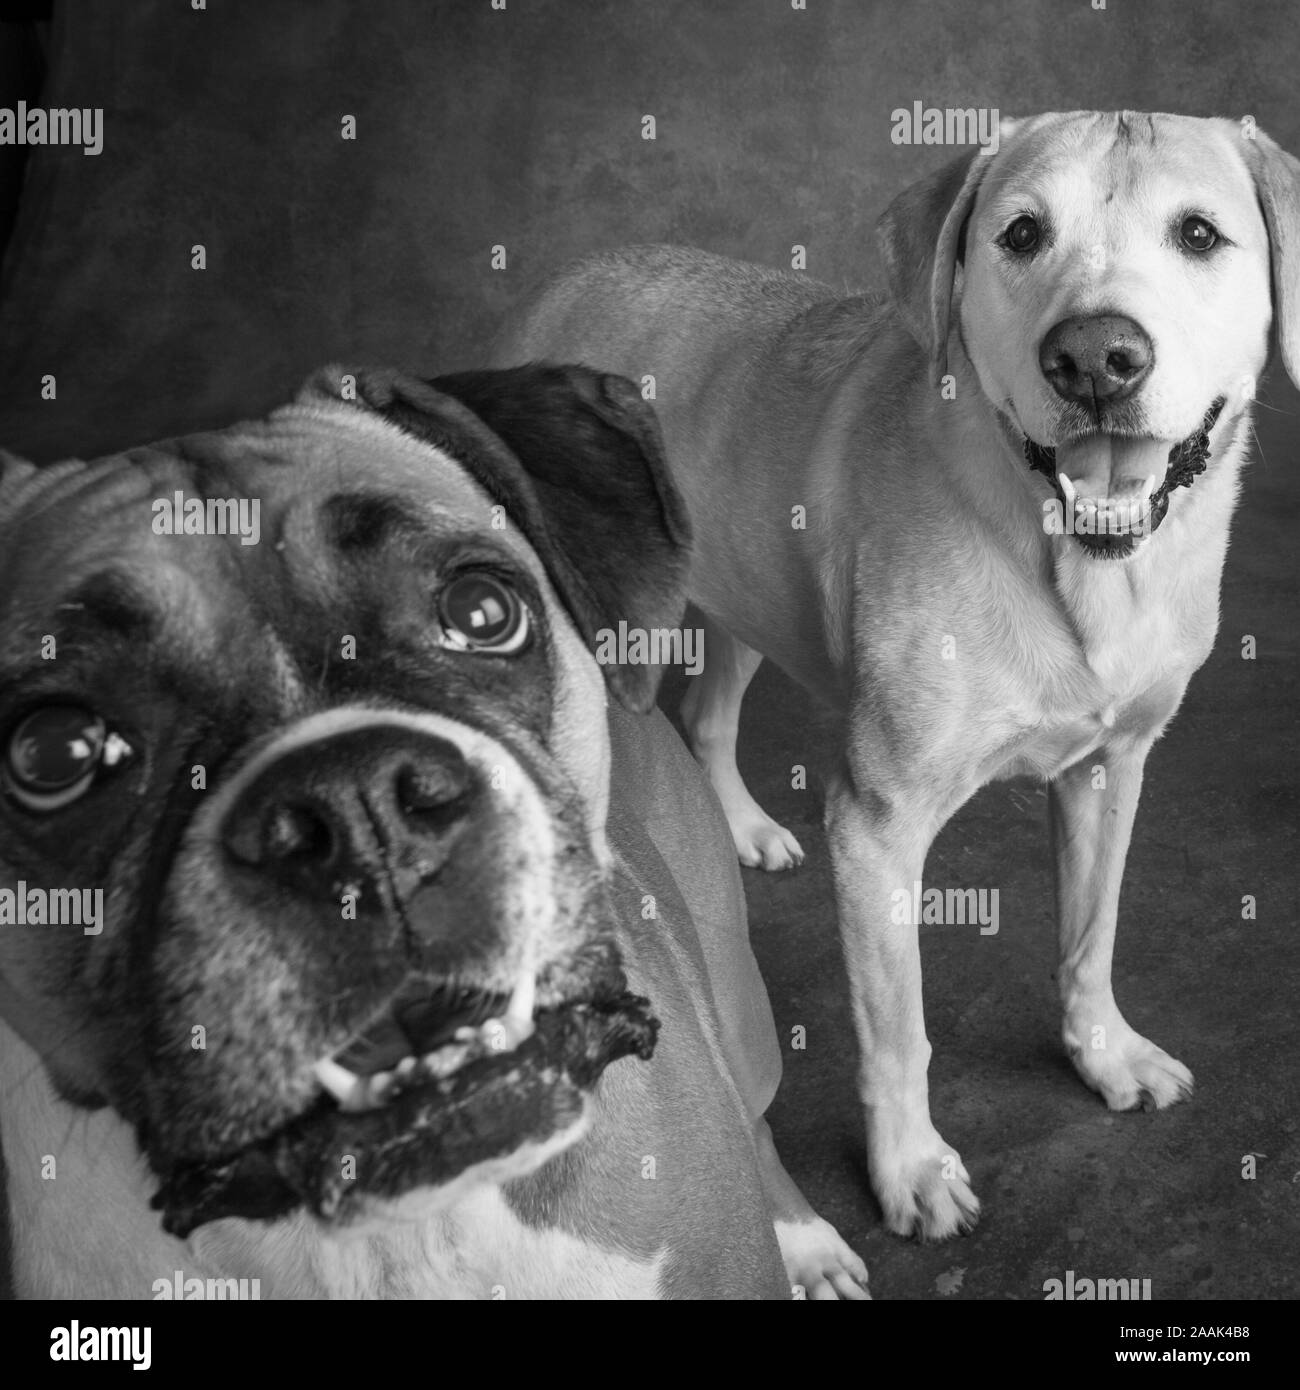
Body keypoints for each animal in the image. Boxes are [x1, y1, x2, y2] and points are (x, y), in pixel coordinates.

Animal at [5, 364, 867, 1295]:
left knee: (761, 1120)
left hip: (743, 1018)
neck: (410, 1224)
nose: (356, 802)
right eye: (53, 752)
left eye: (482, 610)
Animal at [489, 111, 1300, 1239]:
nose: (1094, 358)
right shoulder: (878, 827)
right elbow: (896, 1034)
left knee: (709, 713)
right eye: (1019, 234)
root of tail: (560, 279)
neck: (1066, 560)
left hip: (743, 586)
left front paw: (1102, 1053)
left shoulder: (1112, 769)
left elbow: (1090, 934)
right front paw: (909, 1170)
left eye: (1198, 233)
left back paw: (740, 823)